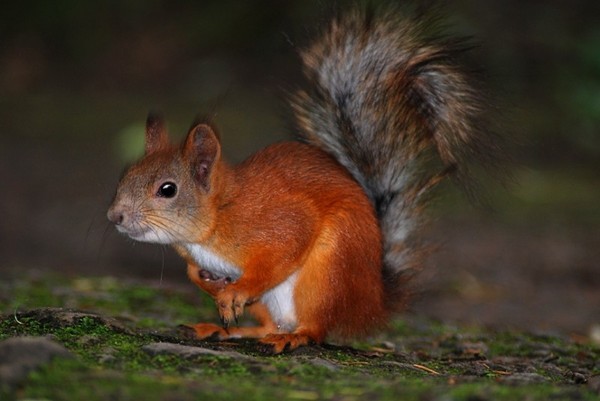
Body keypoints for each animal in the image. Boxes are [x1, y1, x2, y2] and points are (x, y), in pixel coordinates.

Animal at [106, 5, 502, 350]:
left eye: (167, 189)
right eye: (126, 174)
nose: (115, 216)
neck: (217, 217)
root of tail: (371, 304)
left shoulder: (278, 222)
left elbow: (281, 250)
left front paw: (235, 290)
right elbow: (194, 274)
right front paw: (211, 286)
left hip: (327, 273)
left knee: (316, 328)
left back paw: (291, 337)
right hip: (280, 300)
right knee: (271, 324)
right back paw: (230, 331)